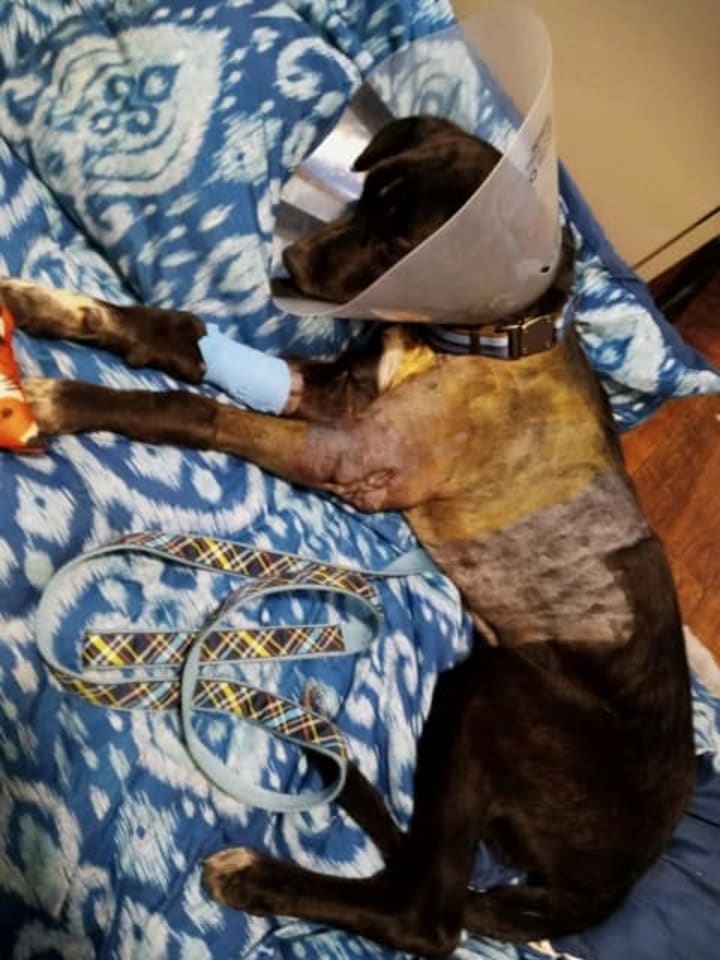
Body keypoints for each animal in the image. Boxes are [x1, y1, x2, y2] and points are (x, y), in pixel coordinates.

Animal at [1, 116, 695, 957]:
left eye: (401, 241)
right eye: (364, 197)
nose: (292, 264)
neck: (481, 338)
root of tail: (614, 883)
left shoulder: (347, 453)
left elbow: (192, 409)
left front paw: (67, 398)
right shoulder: (335, 396)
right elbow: (181, 335)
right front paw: (48, 305)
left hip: (495, 691)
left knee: (431, 916)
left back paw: (260, 878)